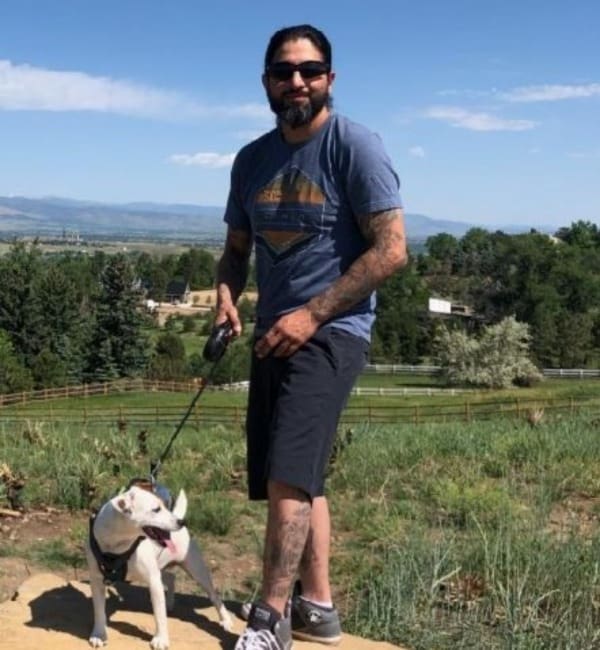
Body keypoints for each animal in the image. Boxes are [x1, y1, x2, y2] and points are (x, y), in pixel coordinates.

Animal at [85, 480, 231, 648]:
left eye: (165, 506)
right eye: (156, 509)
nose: (182, 522)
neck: (117, 543)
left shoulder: (153, 580)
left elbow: (159, 615)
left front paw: (160, 639)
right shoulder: (97, 581)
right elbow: (99, 611)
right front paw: (99, 635)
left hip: (197, 571)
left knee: (214, 595)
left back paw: (226, 620)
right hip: (160, 567)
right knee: (171, 578)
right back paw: (169, 602)